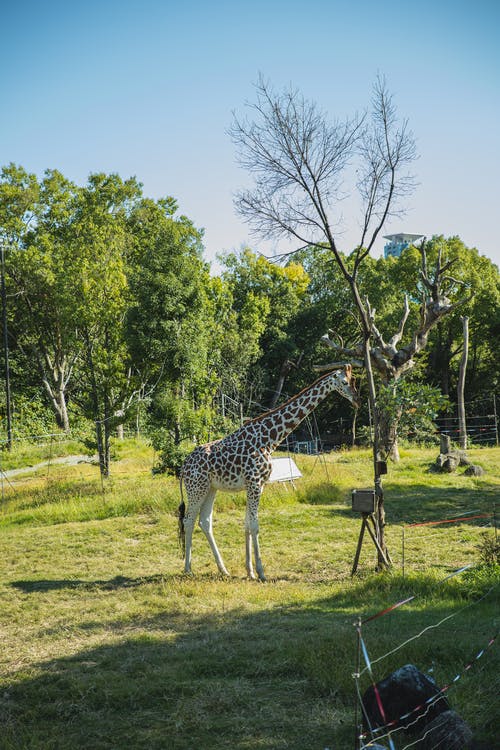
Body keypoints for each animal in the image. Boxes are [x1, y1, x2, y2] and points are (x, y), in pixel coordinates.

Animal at [178, 368, 358, 584]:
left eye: (354, 380)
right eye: (345, 381)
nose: (357, 399)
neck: (269, 439)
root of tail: (183, 467)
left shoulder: (257, 484)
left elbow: (247, 524)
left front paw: (249, 571)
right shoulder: (254, 483)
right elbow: (255, 525)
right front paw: (261, 573)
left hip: (211, 488)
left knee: (204, 522)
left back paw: (223, 570)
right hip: (196, 487)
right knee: (188, 520)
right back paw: (188, 569)